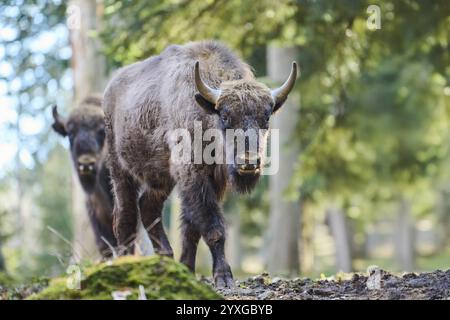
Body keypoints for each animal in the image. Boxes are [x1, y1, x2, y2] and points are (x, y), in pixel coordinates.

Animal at [103, 40, 298, 288]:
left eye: (266, 117)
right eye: (225, 116)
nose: (249, 161)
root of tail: (109, 90)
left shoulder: (213, 182)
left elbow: (191, 228)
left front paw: (186, 269)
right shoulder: (194, 177)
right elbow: (212, 226)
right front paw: (224, 277)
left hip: (162, 179)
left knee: (147, 206)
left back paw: (166, 257)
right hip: (121, 171)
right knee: (125, 215)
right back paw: (126, 264)